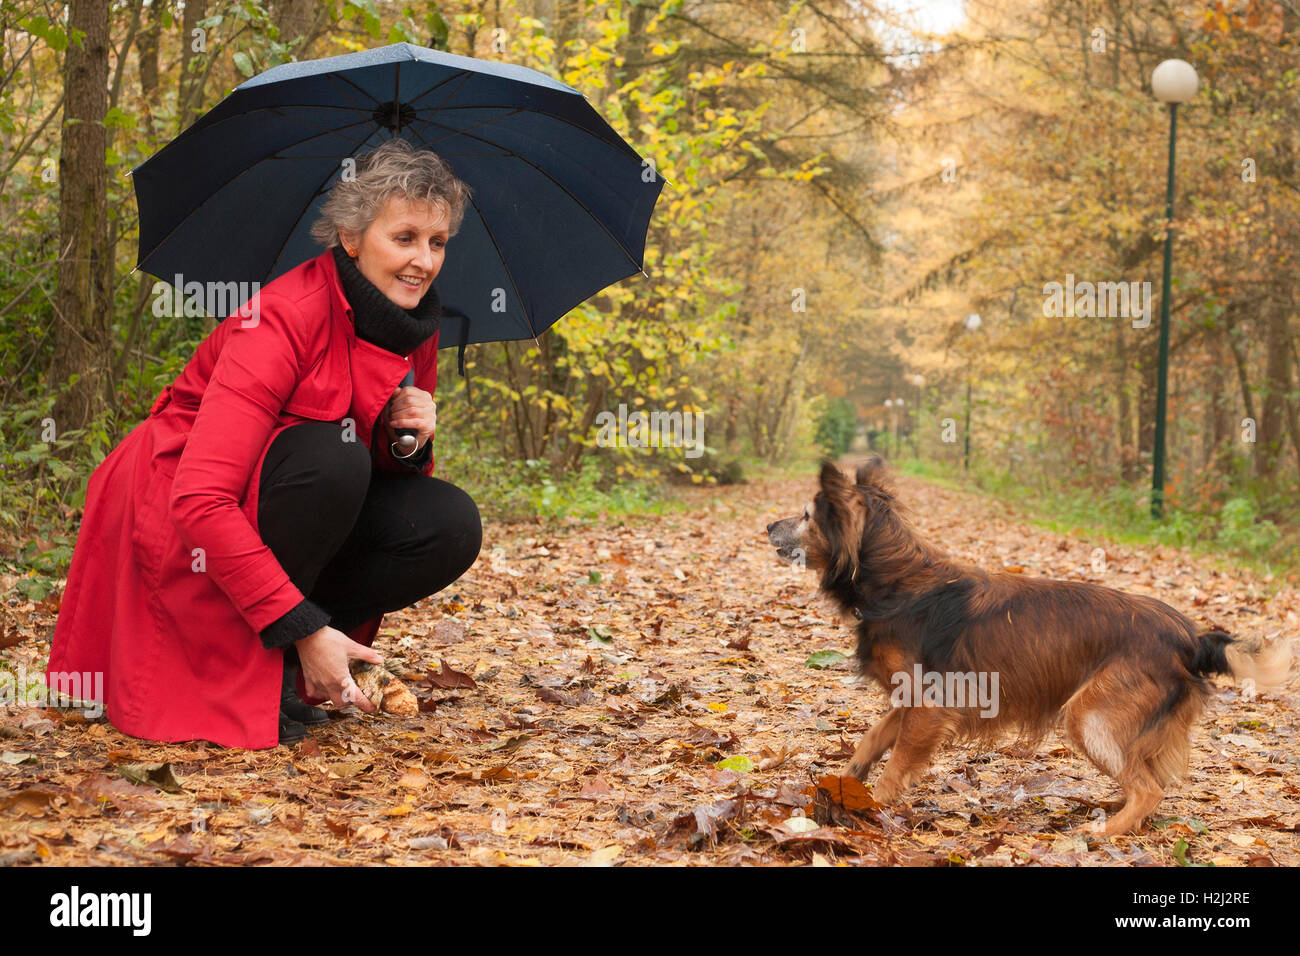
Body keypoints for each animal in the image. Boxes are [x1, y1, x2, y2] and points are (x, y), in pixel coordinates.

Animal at [764, 460, 1284, 832]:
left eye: (807, 516)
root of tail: (1190, 638)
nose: (768, 525)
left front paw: (871, 807)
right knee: (1146, 779)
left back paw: (1105, 831)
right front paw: (844, 784)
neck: (898, 582)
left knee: (1149, 789)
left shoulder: (930, 705)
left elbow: (896, 764)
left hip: (1089, 716)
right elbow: (871, 740)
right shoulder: (912, 698)